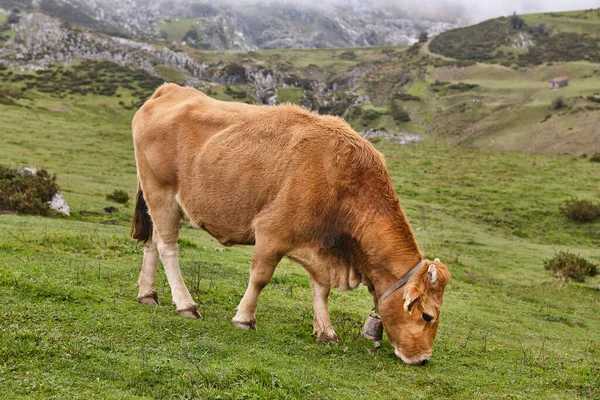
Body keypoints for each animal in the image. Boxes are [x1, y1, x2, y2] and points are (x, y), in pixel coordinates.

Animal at [130, 83, 450, 364]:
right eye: (427, 316)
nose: (423, 359)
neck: (342, 181)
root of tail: (170, 90)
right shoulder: (271, 232)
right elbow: (261, 277)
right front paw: (244, 319)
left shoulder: (320, 247)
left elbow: (321, 290)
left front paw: (326, 331)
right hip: (161, 193)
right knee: (167, 247)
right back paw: (186, 304)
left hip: (156, 200)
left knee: (152, 242)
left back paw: (147, 293)